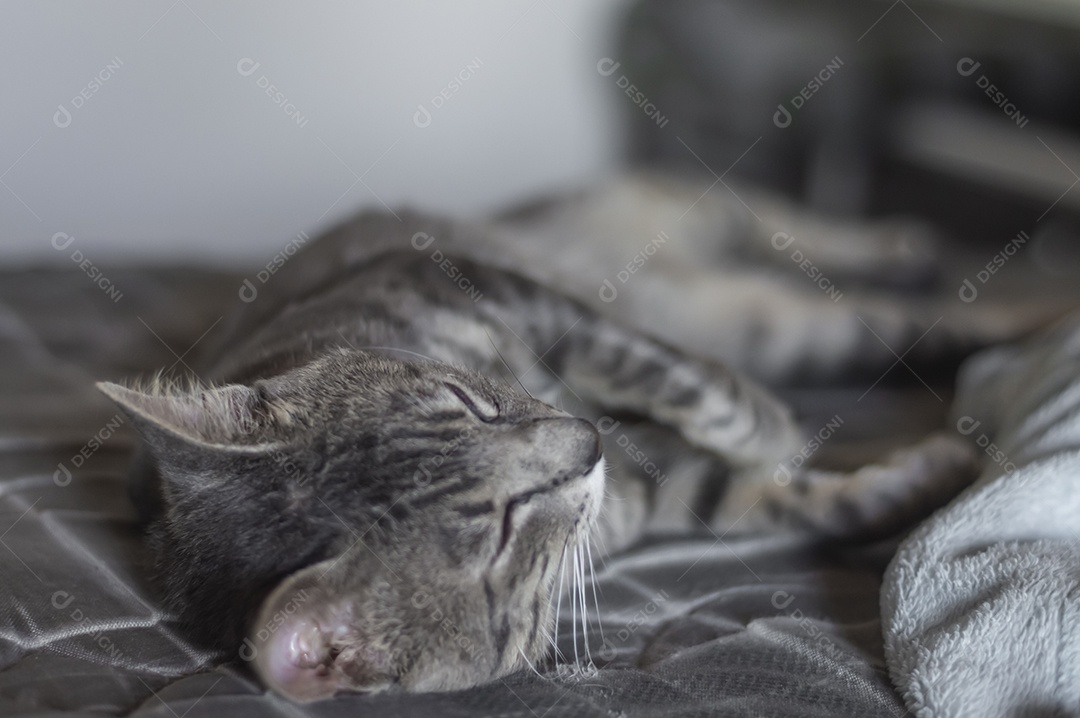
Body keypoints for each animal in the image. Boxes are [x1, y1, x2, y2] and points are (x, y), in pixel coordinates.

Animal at [97, 172, 989, 699]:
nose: (588, 438)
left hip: (695, 244)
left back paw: (917, 252)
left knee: (771, 221)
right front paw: (911, 476)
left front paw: (767, 425)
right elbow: (784, 500)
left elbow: (671, 373)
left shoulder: (509, 294)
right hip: (769, 320)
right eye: (502, 529)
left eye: (470, 401)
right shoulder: (648, 492)